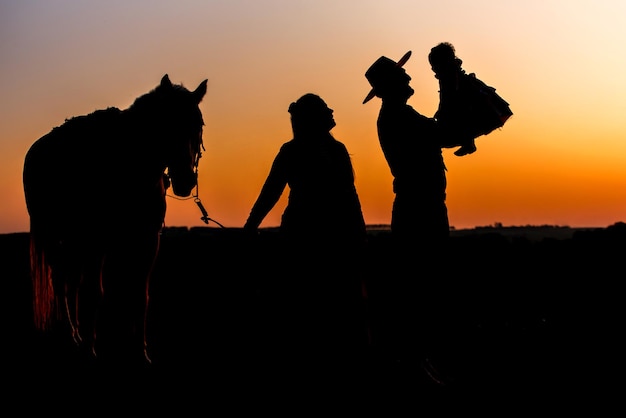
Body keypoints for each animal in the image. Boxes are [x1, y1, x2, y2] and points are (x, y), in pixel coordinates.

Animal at [22, 75, 207, 366]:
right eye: (166, 122)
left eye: (197, 125)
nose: (186, 180)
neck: (130, 168)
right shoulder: (98, 243)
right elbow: (95, 293)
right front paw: (90, 350)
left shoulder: (146, 241)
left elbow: (140, 295)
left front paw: (140, 352)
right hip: (54, 237)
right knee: (61, 281)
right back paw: (71, 335)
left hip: (76, 243)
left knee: (71, 281)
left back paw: (77, 333)